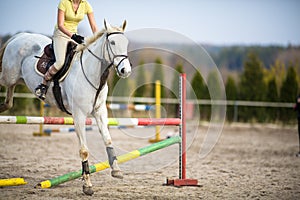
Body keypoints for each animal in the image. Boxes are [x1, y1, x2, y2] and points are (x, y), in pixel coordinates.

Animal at [0, 20, 131, 195]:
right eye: (112, 43)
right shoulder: (79, 115)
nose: (125, 70)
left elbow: (108, 139)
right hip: (7, 76)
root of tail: (20, 36)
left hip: (14, 81)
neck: (92, 73)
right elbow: (84, 150)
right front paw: (87, 185)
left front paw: (116, 170)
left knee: (9, 101)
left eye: (126, 43)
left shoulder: (100, 112)